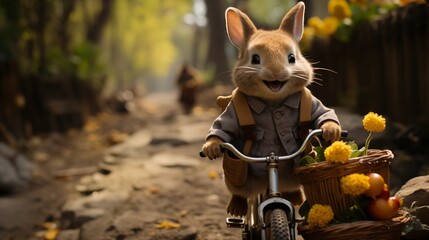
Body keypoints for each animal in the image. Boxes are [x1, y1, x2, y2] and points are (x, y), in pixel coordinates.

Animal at [201, 0, 342, 217]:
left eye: (292, 58)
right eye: (255, 59)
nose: (276, 73)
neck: (273, 102)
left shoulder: (311, 102)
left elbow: (323, 112)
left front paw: (331, 129)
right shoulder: (232, 113)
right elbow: (221, 127)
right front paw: (212, 145)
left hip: (292, 176)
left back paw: (295, 198)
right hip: (240, 178)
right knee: (239, 191)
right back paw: (236, 208)